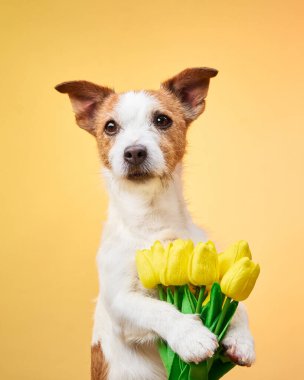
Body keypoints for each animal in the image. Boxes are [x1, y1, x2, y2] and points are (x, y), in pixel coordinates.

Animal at [55, 67, 255, 378]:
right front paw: (190, 336)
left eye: (162, 120)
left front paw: (242, 339)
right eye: (110, 127)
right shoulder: (120, 302)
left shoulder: (207, 278)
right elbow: (157, 309)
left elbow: (233, 303)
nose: (134, 152)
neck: (151, 218)